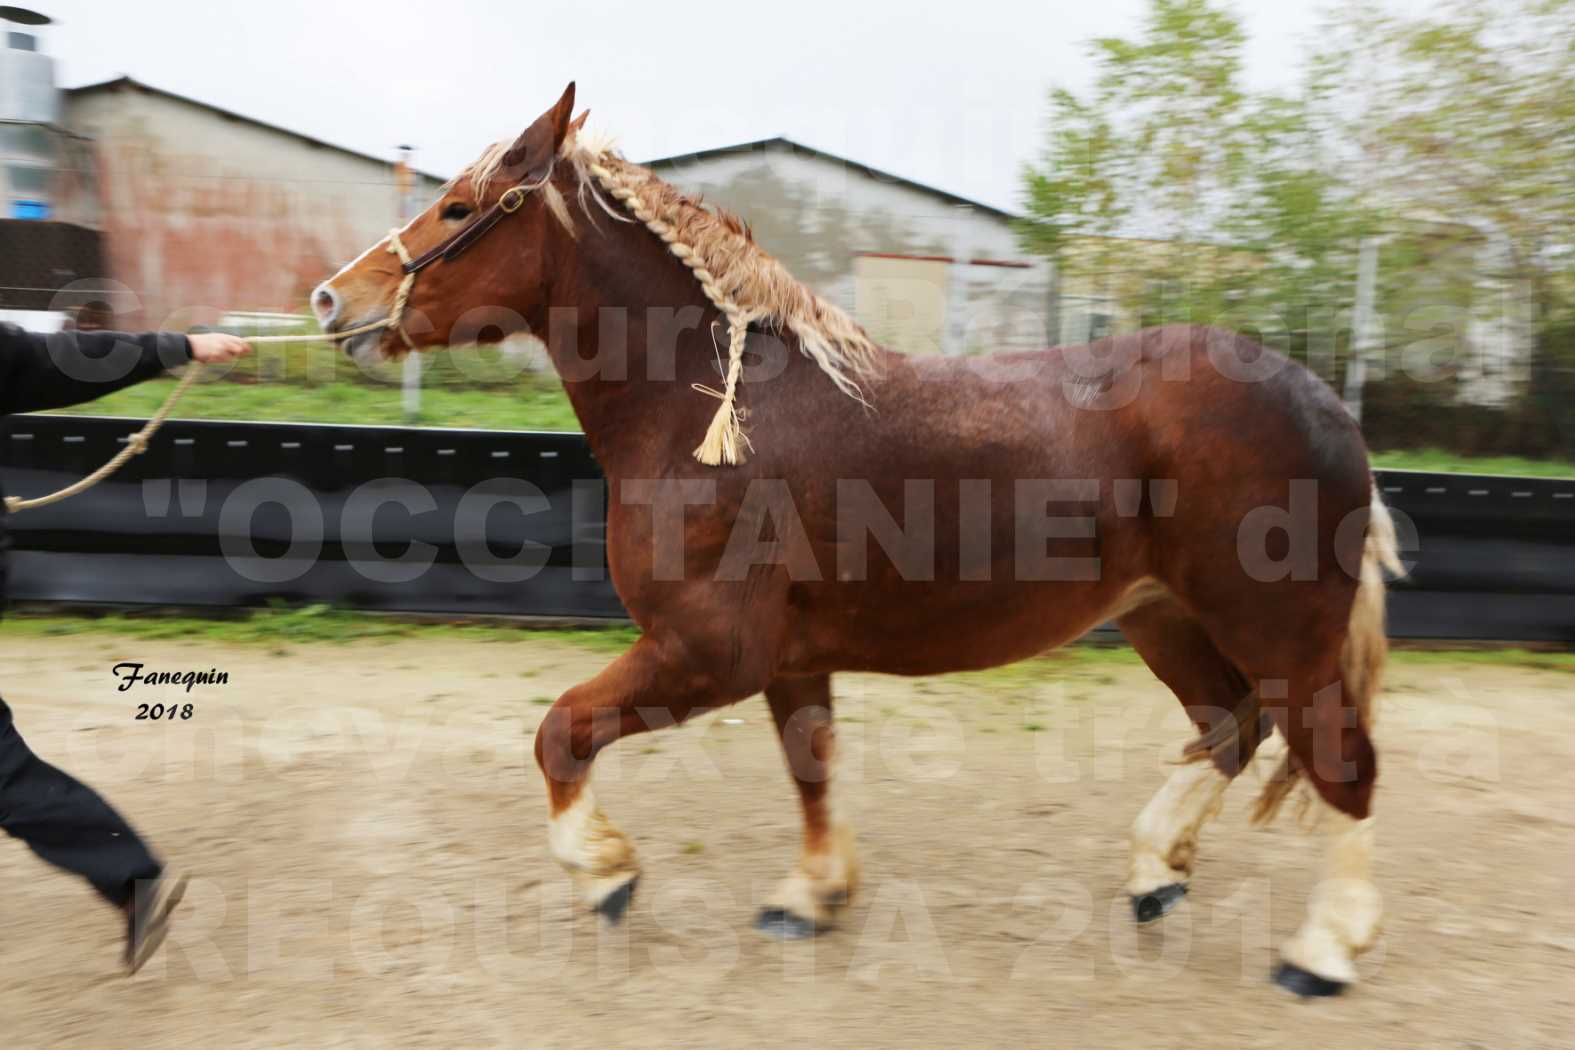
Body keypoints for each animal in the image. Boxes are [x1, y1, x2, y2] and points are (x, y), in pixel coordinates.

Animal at [313, 86, 1398, 1001]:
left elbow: (561, 731)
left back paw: (1320, 953)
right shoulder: (789, 659)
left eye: (459, 209)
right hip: (1163, 617)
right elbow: (810, 766)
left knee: (1339, 763)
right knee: (1230, 729)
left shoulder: (709, 651)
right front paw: (812, 896)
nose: (333, 300)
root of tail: (1326, 404)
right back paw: (1155, 873)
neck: (708, 414)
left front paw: (605, 874)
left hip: (1280, 630)